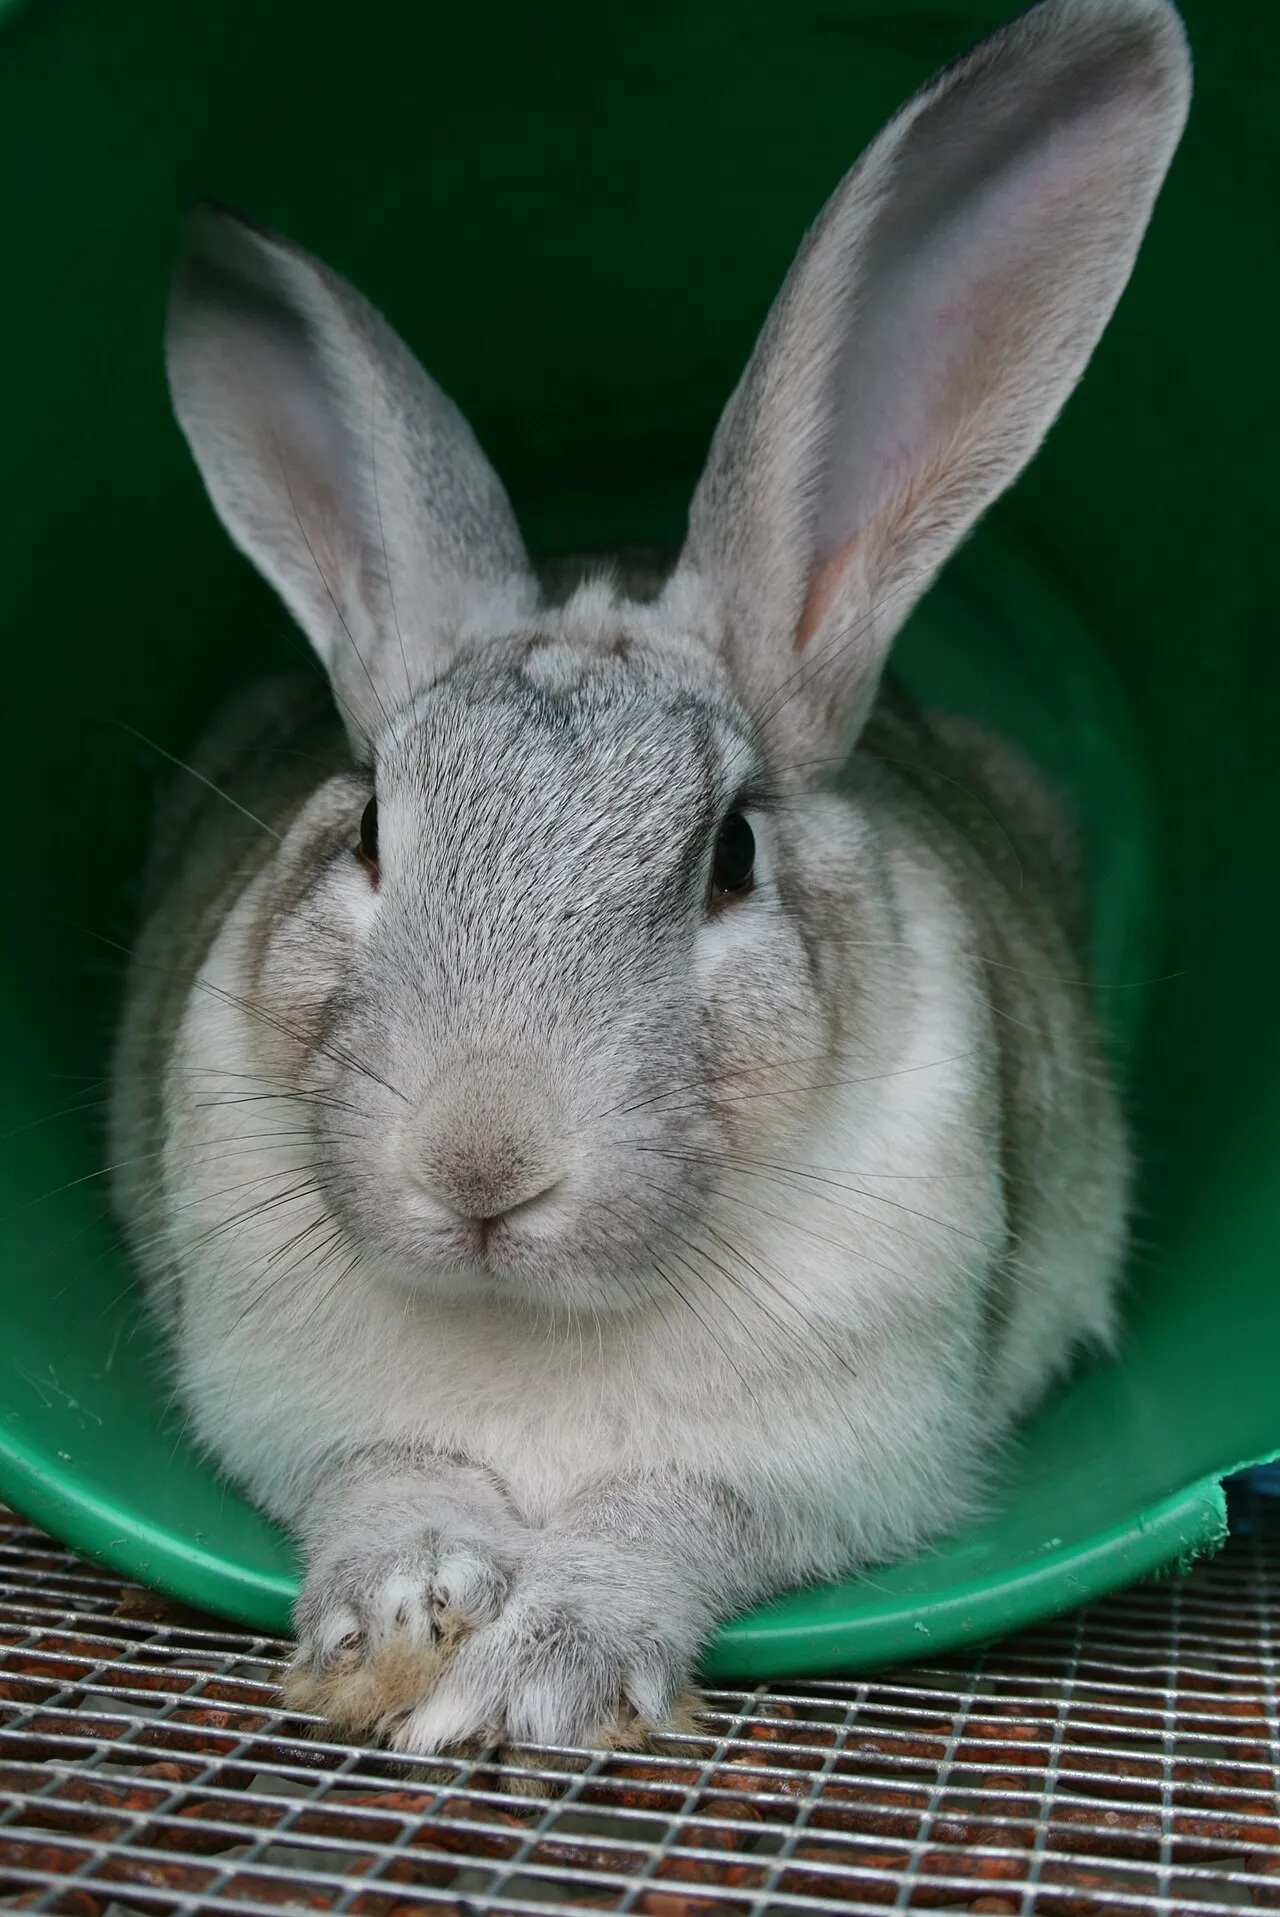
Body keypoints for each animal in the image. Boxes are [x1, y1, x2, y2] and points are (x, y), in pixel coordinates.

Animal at [109, 0, 1189, 1759]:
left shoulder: (828, 1463)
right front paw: (396, 1619)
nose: (480, 1161)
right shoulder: (289, 1401)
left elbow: (668, 1519)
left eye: (729, 854)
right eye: (369, 828)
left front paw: (536, 1676)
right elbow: (384, 1476)